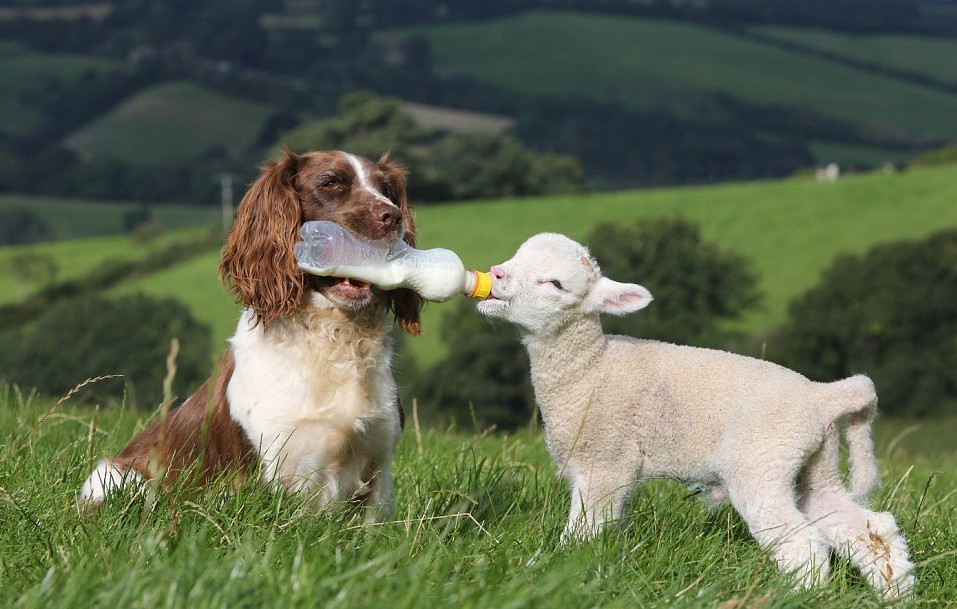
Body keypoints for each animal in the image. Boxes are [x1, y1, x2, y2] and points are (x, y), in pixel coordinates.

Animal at [74, 148, 418, 516]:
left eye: (387, 189)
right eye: (330, 182)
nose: (392, 217)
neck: (334, 337)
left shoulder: (378, 468)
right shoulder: (275, 470)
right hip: (120, 479)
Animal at [474, 233, 916, 600]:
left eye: (555, 284)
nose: (495, 274)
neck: (591, 369)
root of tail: (822, 396)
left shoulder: (606, 462)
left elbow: (585, 528)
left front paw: (556, 569)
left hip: (761, 462)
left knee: (801, 542)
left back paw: (798, 596)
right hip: (813, 466)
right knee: (870, 529)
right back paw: (898, 593)